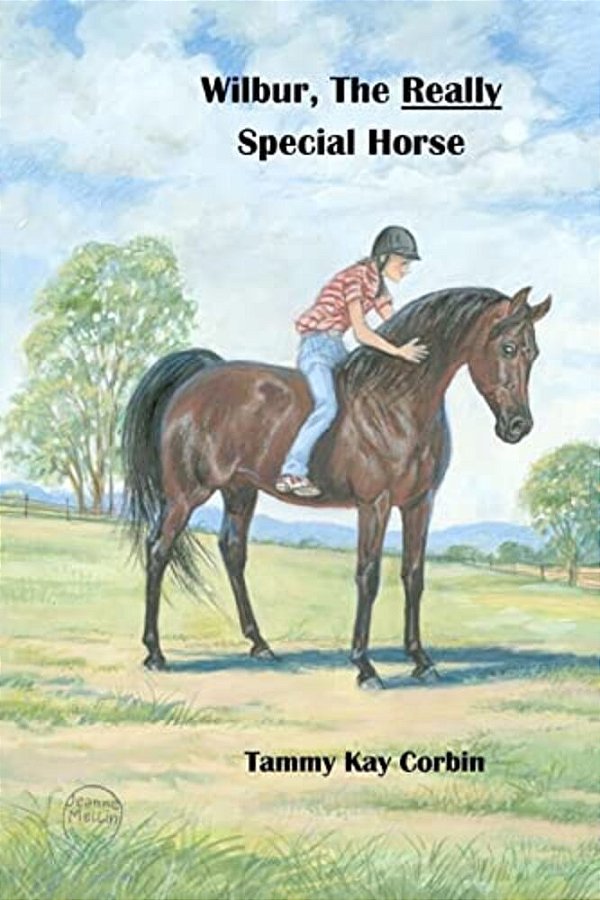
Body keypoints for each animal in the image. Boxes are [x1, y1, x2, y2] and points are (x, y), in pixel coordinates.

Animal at [122, 285, 551, 688]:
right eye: (508, 347)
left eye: (534, 354)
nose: (519, 425)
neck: (397, 403)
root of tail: (199, 377)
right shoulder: (374, 504)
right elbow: (368, 576)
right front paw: (365, 666)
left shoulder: (419, 503)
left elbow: (413, 576)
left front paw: (421, 660)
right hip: (186, 495)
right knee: (158, 551)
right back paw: (155, 653)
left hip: (239, 492)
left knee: (233, 552)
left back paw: (259, 645)